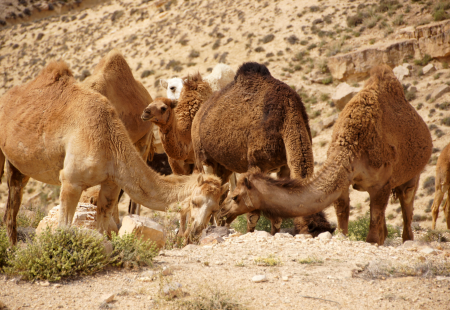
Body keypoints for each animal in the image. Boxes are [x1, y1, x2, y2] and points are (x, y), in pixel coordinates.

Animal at [0, 60, 225, 245]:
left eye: (214, 209)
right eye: (195, 202)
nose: (196, 231)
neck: (110, 141)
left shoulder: (111, 183)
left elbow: (103, 228)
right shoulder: (71, 180)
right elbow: (64, 227)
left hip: (19, 165)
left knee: (13, 201)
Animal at [192, 61, 314, 234]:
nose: (310, 229)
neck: (286, 115)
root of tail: (200, 113)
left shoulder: (284, 166)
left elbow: (278, 210)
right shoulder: (256, 164)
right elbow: (253, 215)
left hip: (224, 166)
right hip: (203, 156)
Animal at [221, 65, 432, 245]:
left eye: (235, 197)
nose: (222, 211)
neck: (352, 147)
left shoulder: (381, 185)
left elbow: (373, 232)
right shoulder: (343, 181)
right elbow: (343, 219)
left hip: (412, 175)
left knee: (406, 206)